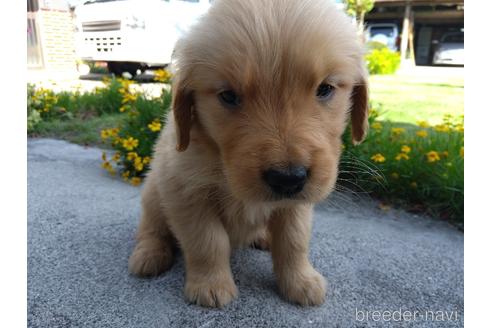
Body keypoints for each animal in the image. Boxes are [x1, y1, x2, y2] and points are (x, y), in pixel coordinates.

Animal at [129, 0, 368, 308]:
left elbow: (294, 240)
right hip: (153, 193)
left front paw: (301, 281)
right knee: (151, 227)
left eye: (325, 89)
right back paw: (149, 254)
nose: (288, 179)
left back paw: (263, 237)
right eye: (228, 96)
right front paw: (211, 285)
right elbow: (207, 241)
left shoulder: (297, 204)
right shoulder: (184, 191)